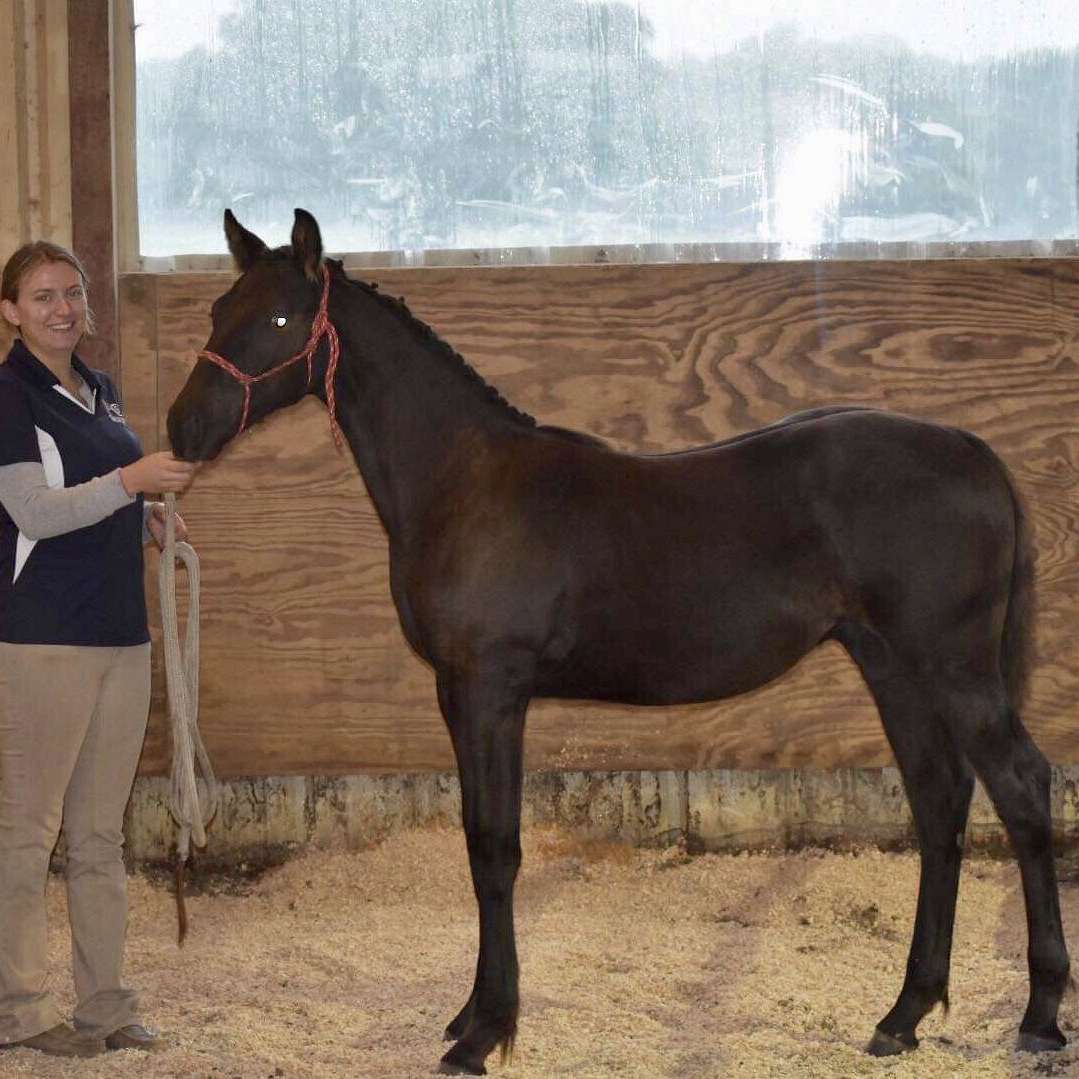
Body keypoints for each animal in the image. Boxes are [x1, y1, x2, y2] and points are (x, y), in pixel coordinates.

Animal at [168, 206, 1070, 1074]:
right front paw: (470, 1014)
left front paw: (483, 1034)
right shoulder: (457, 693)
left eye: (280, 317)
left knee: (1021, 788)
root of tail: (975, 453)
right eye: (217, 309)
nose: (183, 426)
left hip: (952, 668)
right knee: (939, 799)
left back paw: (1038, 1015)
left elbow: (495, 848)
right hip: (891, 666)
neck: (463, 481)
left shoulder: (490, 688)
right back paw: (903, 1014)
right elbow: (476, 839)